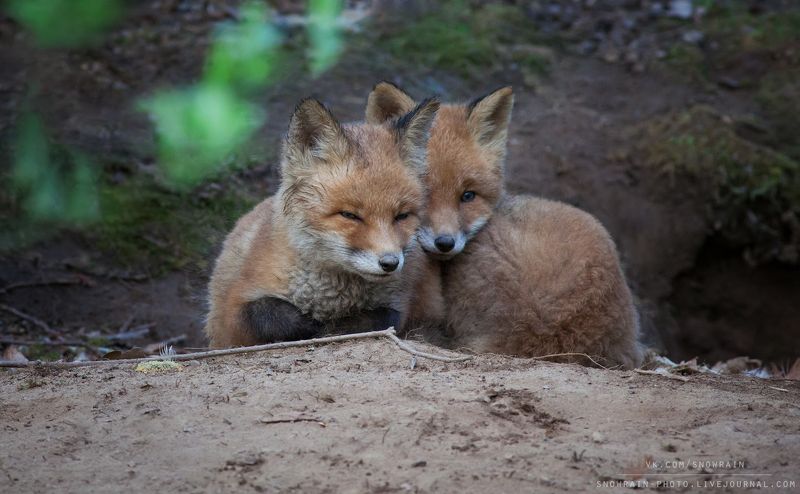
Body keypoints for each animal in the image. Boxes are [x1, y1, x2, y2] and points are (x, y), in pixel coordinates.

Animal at [205, 97, 440, 348]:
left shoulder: (400, 302)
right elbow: (269, 313)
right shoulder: (231, 314)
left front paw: (334, 328)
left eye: (402, 216)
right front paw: (313, 327)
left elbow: (383, 317)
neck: (330, 299)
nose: (390, 263)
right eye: (349, 215)